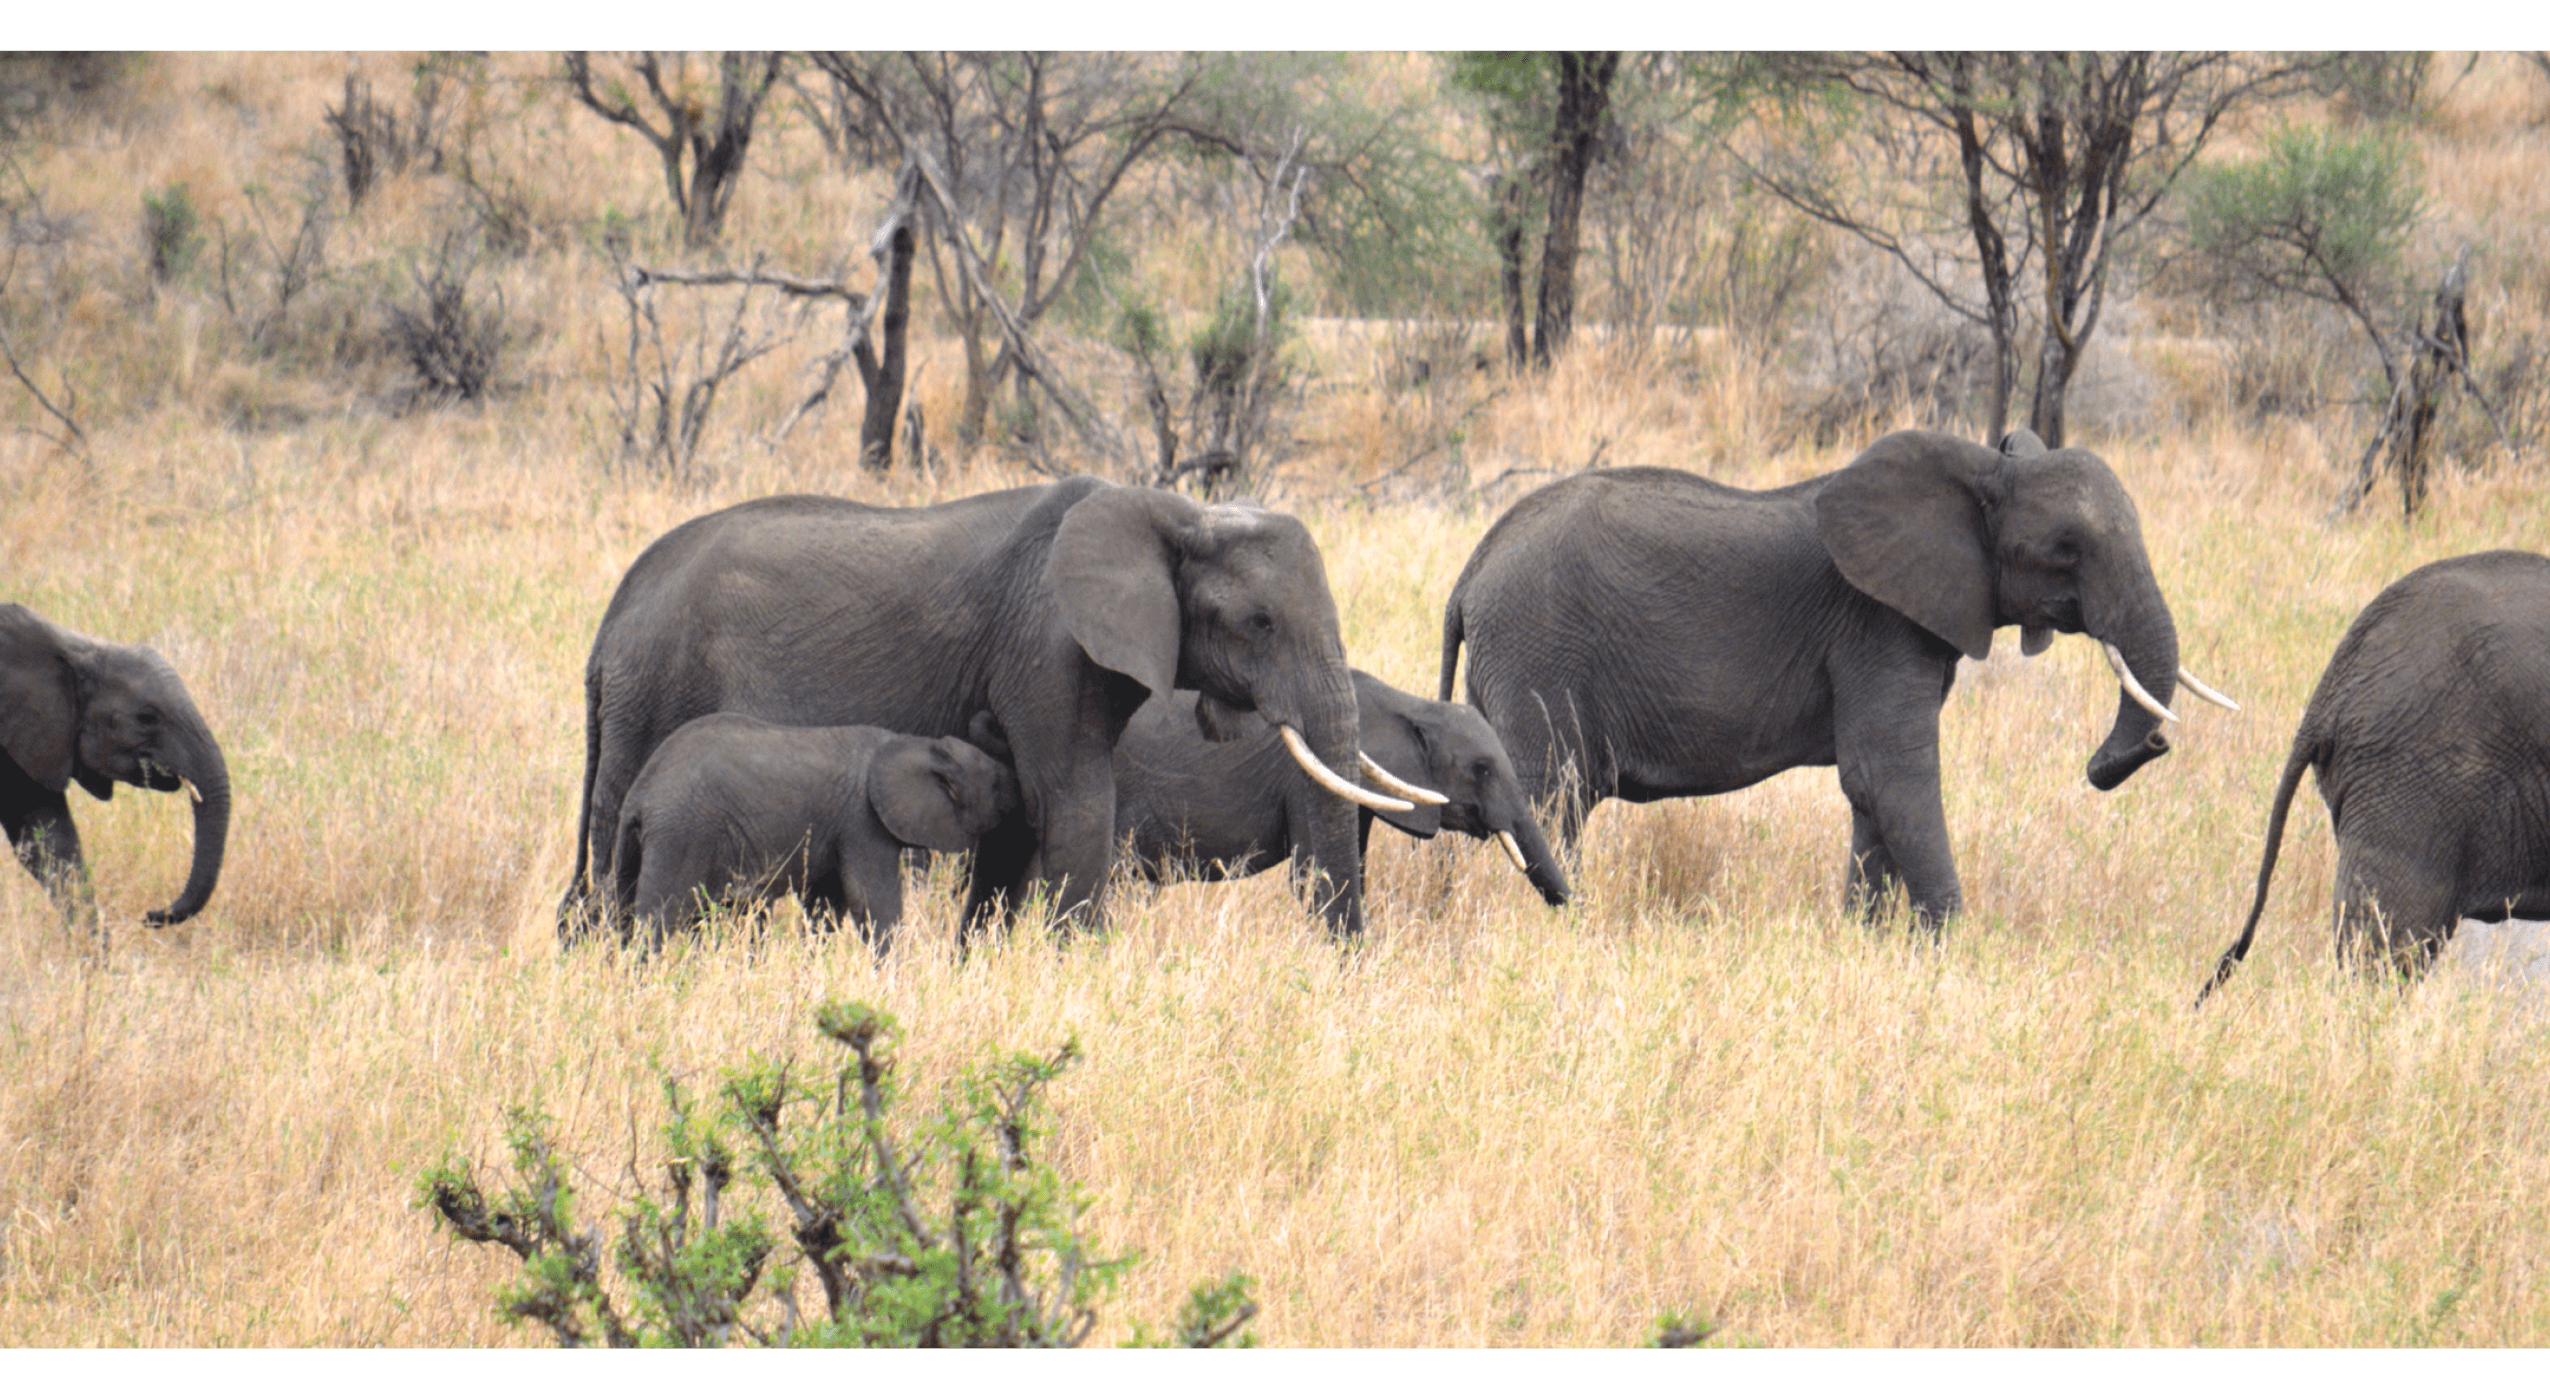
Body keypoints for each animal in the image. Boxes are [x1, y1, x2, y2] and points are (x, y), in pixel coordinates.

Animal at [608, 714, 1018, 951]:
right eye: (997, 783)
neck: (915, 744)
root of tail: (641, 796)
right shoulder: (862, 822)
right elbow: (872, 903)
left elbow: (825, 908)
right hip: (681, 834)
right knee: (658, 919)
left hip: (637, 843)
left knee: (625, 911)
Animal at [1438, 428, 2235, 928]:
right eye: (2067, 548)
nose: (2111, 762)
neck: (1983, 467)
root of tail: (1471, 570)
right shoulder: (1877, 624)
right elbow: (1893, 778)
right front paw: (1951, 952)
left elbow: (1868, 788)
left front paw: (1866, 941)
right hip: (1540, 649)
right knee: (1550, 799)